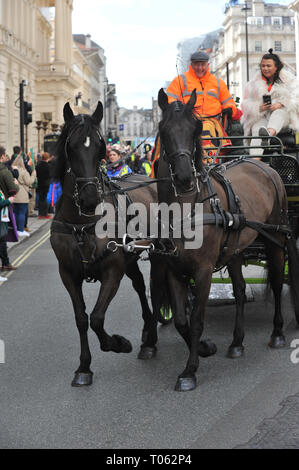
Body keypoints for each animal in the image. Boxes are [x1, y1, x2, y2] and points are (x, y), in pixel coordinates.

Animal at [51, 102, 159, 386]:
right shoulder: (68, 273)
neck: (82, 223)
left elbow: (97, 318)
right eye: (70, 145)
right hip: (130, 258)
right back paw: (148, 335)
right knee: (140, 285)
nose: (90, 198)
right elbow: (81, 318)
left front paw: (118, 343)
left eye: (100, 146)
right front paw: (84, 367)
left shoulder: (112, 270)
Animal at [147, 89, 299, 392]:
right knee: (239, 289)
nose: (185, 178)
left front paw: (190, 371)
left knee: (277, 282)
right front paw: (206, 348)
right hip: (236, 249)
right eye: (164, 129)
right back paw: (237, 342)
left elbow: (196, 320)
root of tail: (263, 166)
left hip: (276, 237)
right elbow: (181, 319)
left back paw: (277, 332)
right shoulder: (174, 269)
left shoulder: (203, 270)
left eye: (194, 128)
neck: (187, 206)